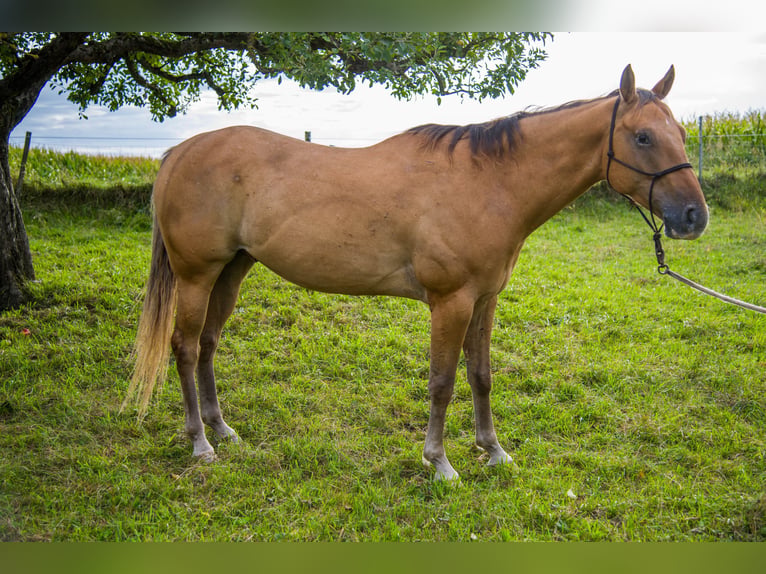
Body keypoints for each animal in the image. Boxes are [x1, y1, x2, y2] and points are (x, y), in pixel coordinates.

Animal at [123, 65, 708, 481]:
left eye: (680, 132)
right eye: (642, 138)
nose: (693, 217)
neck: (487, 182)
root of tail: (179, 152)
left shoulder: (485, 299)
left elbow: (480, 376)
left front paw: (493, 451)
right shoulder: (451, 301)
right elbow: (443, 382)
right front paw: (440, 461)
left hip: (231, 271)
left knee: (209, 344)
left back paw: (222, 429)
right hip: (197, 276)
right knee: (185, 347)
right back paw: (200, 443)